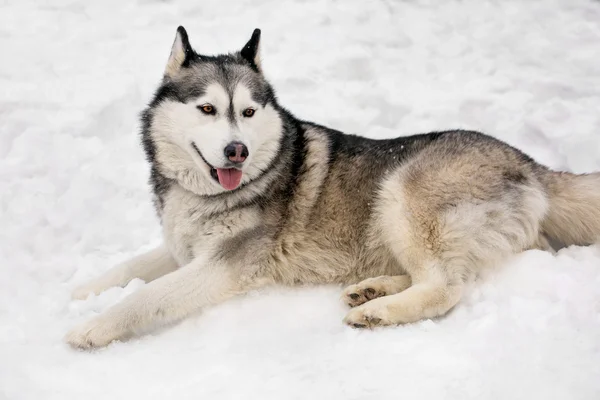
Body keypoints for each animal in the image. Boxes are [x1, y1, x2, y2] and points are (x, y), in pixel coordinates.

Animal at [65, 26, 600, 348]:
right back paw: (372, 291)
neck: (205, 193)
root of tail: (529, 162)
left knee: (447, 287)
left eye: (249, 112)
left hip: (400, 194)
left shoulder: (224, 264)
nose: (237, 151)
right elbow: (129, 268)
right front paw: (78, 292)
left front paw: (92, 326)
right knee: (442, 274)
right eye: (207, 109)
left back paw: (379, 311)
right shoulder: (184, 246)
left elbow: (146, 297)